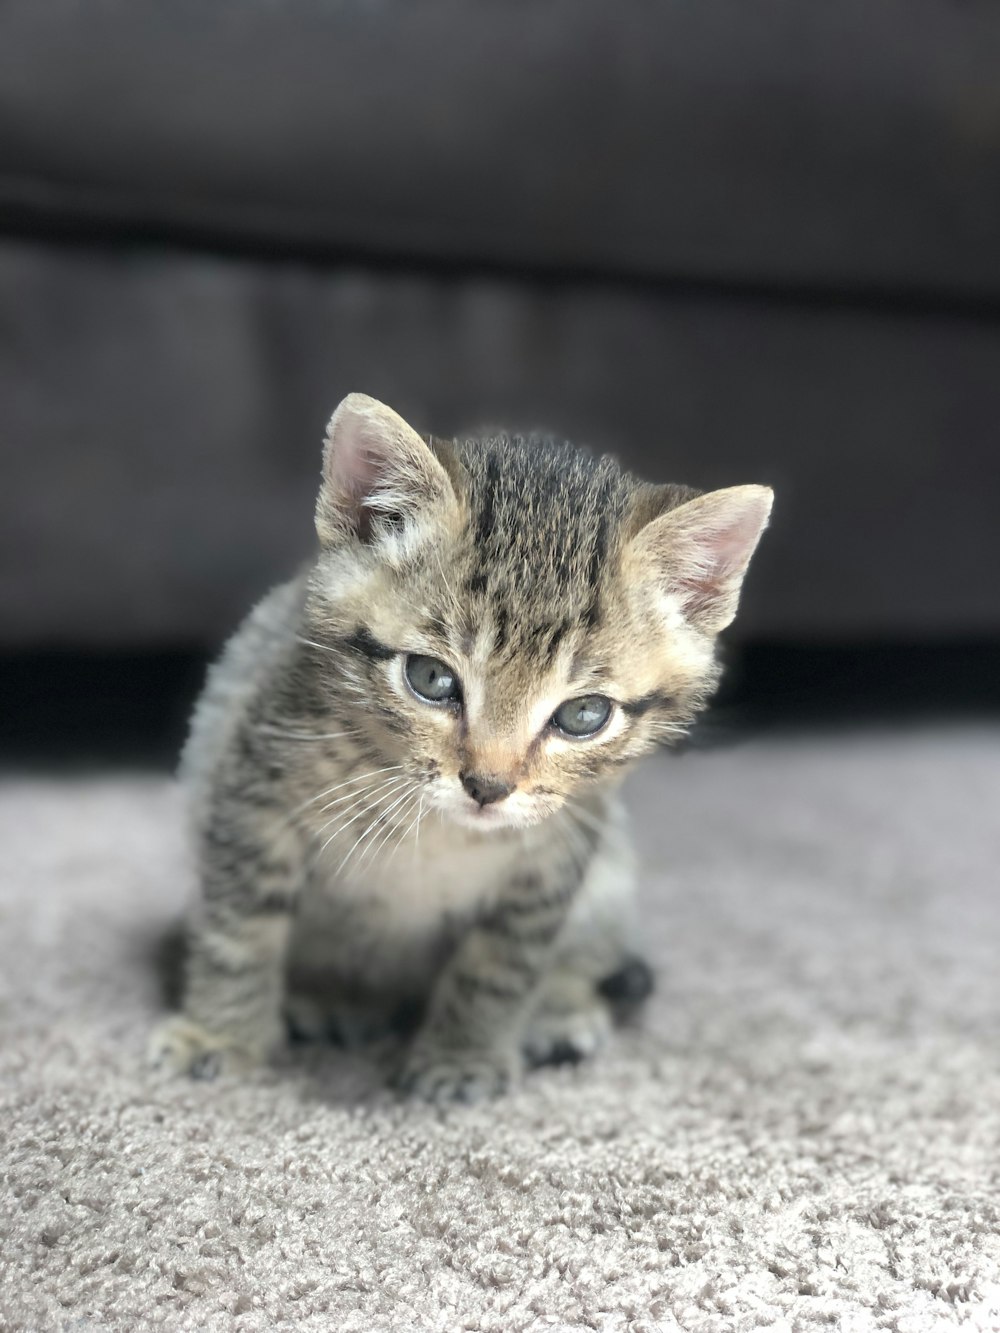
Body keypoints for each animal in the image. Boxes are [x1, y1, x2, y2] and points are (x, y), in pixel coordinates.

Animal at [150, 391, 773, 1103]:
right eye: (431, 679)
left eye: (584, 715)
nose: (488, 786)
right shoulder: (251, 786)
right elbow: (239, 930)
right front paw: (220, 1034)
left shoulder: (556, 856)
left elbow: (500, 964)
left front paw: (462, 1055)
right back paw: (331, 997)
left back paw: (559, 1009)